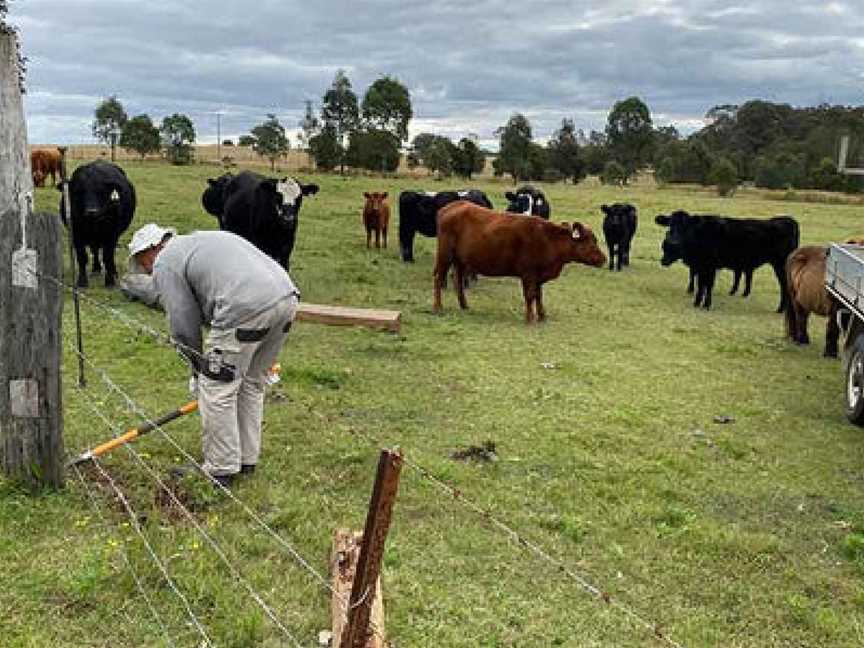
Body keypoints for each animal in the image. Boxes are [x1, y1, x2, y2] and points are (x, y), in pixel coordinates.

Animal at [432, 201, 608, 322]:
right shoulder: (528, 274)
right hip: (444, 256)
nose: (603, 259)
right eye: (591, 241)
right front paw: (530, 317)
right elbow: (530, 295)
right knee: (439, 278)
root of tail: (452, 206)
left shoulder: (538, 277)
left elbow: (539, 295)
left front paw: (542, 316)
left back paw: (464, 305)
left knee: (458, 281)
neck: (548, 239)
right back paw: (438, 307)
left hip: (460, 261)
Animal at [660, 211, 800, 310]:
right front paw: (697, 303)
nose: (673, 241)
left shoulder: (709, 266)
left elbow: (708, 285)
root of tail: (788, 220)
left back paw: (781, 309)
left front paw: (706, 305)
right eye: (670, 225)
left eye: (686, 227)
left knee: (784, 286)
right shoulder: (700, 266)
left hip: (780, 265)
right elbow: (701, 285)